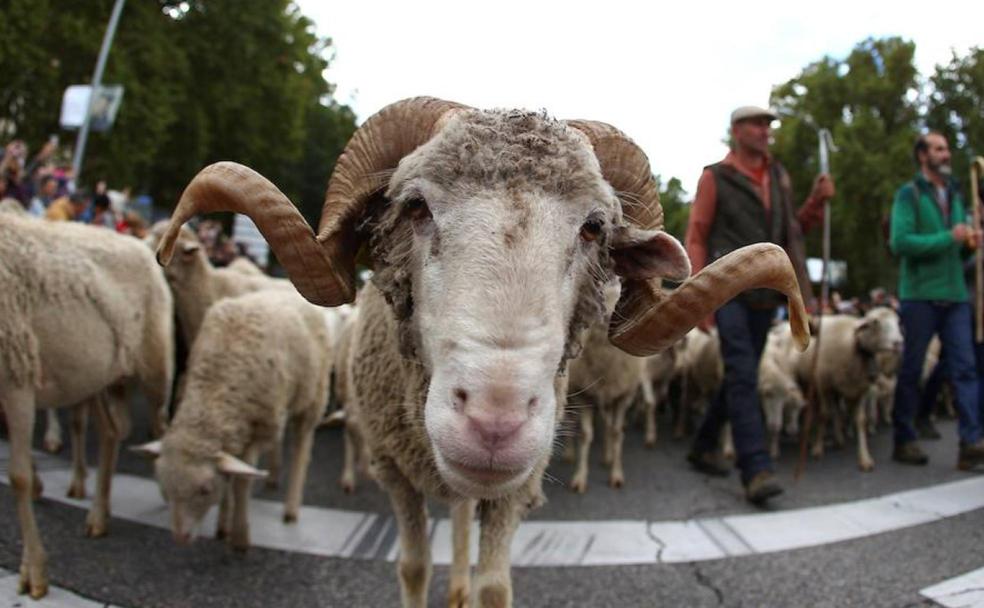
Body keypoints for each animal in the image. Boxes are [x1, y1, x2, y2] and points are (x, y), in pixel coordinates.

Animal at [0, 213, 173, 600]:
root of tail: (141, 243)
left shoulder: (17, 379)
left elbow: (17, 477)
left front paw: (35, 572)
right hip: (98, 378)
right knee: (110, 432)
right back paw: (98, 515)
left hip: (154, 367)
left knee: (161, 426)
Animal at [133, 288, 332, 548]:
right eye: (164, 486)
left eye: (205, 490)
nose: (180, 537)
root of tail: (285, 288)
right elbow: (229, 477)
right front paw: (222, 526)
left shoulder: (257, 429)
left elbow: (241, 483)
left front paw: (239, 536)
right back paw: (273, 475)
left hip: (312, 397)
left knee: (302, 447)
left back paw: (291, 508)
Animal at [158, 97, 812, 604]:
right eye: (413, 206)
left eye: (595, 228)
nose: (495, 422)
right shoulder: (393, 470)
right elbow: (413, 567)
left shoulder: (514, 490)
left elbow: (494, 586)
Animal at [796, 308, 904, 470]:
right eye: (875, 322)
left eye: (898, 321)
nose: (898, 343)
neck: (852, 343)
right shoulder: (824, 386)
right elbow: (824, 415)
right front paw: (818, 448)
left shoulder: (860, 389)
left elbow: (861, 420)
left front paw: (864, 458)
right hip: (809, 384)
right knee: (815, 410)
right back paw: (810, 437)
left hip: (839, 388)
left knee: (836, 411)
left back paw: (839, 439)